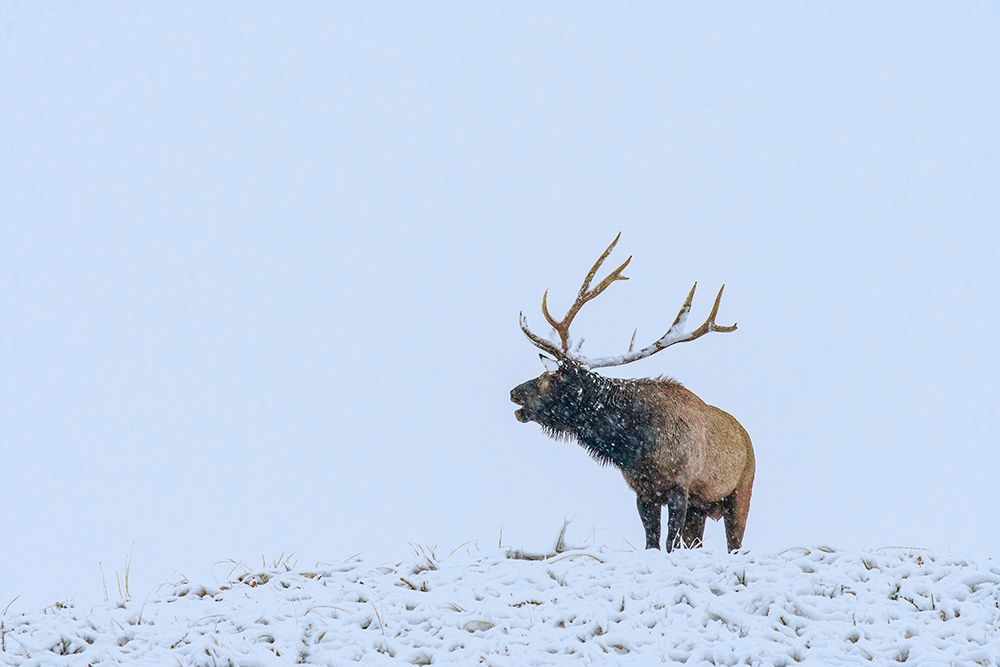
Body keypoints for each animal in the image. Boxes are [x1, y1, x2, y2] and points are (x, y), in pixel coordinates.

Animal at [510, 233, 755, 552]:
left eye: (551, 378)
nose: (514, 392)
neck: (635, 445)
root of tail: (747, 438)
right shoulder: (643, 492)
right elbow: (651, 542)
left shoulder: (680, 486)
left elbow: (669, 542)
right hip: (701, 509)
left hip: (740, 494)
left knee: (734, 543)